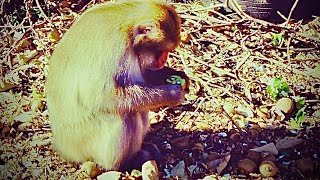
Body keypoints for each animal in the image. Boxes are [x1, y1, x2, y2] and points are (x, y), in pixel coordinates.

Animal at [45, 0, 190, 171]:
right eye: (163, 50)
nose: (163, 60)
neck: (129, 32)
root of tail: (63, 148)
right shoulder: (113, 46)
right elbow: (102, 98)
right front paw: (173, 94)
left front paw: (178, 76)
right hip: (84, 143)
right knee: (127, 114)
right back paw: (126, 162)